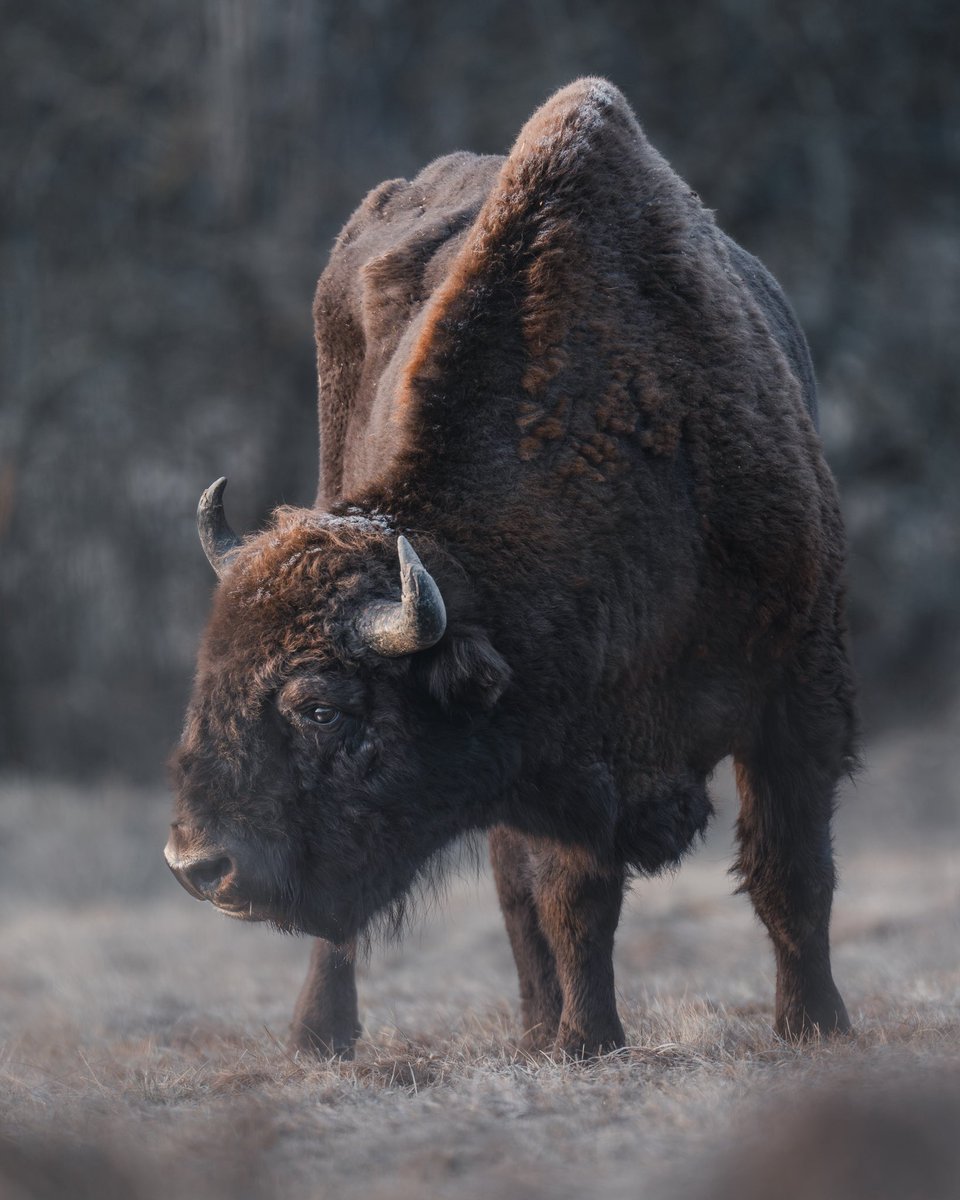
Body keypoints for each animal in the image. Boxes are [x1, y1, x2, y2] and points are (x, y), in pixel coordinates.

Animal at [166, 79, 857, 1057]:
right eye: (210, 677)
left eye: (322, 706)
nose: (198, 864)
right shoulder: (564, 749)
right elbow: (573, 900)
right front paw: (590, 1040)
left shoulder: (796, 696)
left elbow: (791, 874)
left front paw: (816, 1028)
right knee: (423, 915)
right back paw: (333, 1034)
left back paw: (533, 1029)